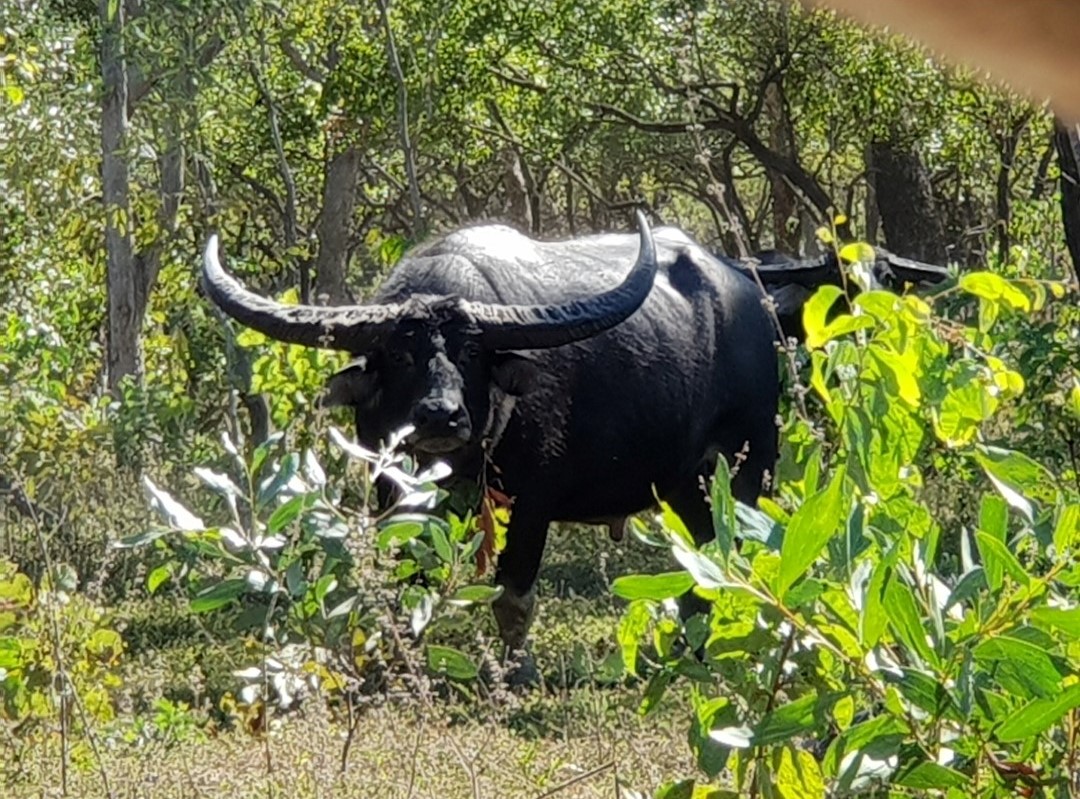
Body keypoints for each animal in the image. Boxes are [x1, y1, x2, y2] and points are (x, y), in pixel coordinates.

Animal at [201, 212, 945, 652]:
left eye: (472, 355)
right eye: (401, 356)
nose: (442, 417)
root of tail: (748, 297)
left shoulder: (533, 501)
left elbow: (513, 595)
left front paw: (513, 673)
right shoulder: (393, 493)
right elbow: (409, 580)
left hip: (750, 460)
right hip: (683, 483)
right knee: (701, 559)